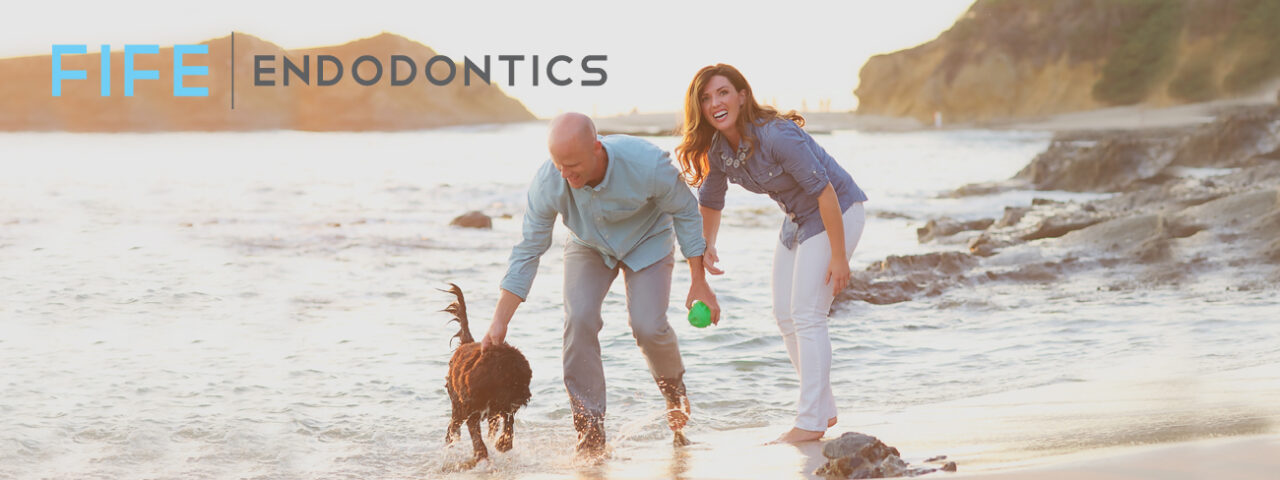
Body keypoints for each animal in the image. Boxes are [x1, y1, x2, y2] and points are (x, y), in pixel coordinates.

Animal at [445, 284, 529, 468]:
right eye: (511, 381)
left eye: (527, 380)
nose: (525, 397)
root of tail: (465, 343)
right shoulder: (473, 411)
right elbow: (476, 435)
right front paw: (482, 455)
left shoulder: (503, 406)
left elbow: (509, 421)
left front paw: (504, 443)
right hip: (457, 406)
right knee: (453, 427)